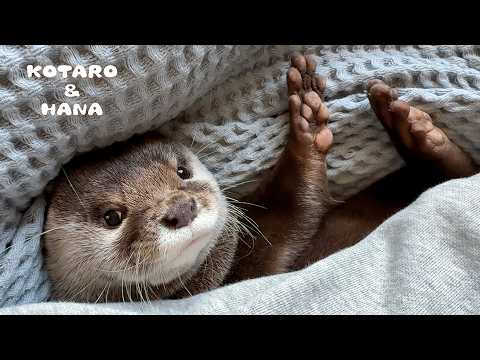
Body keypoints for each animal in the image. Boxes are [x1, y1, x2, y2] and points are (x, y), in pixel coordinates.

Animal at [43, 52, 478, 300]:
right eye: (112, 217)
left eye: (182, 172)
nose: (181, 208)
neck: (224, 270)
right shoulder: (263, 258)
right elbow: (294, 204)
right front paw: (305, 131)